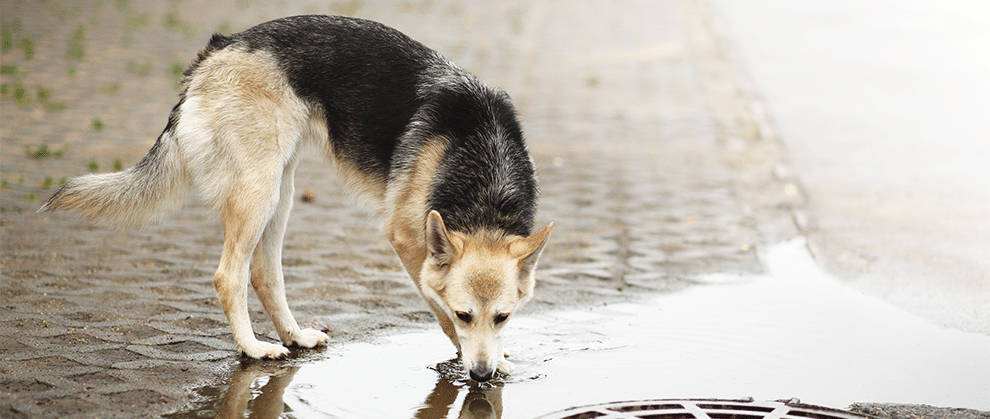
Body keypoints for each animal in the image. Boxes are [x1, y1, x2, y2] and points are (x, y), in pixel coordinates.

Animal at [40, 15, 552, 384]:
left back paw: (294, 337)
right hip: (259, 190)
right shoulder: (410, 243)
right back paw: (253, 347)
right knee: (229, 276)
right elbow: (441, 313)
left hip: (280, 192)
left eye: (504, 316)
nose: (481, 377)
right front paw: (473, 354)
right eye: (467, 314)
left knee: (264, 274)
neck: (484, 183)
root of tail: (216, 51)